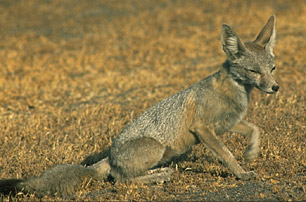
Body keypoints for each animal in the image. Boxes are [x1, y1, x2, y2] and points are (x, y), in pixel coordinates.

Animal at [0, 15, 278, 197]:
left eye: (272, 69)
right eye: (254, 71)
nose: (275, 88)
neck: (235, 92)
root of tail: (110, 155)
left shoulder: (227, 124)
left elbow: (254, 129)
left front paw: (251, 152)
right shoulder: (204, 129)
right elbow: (227, 154)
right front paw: (241, 173)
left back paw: (159, 174)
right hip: (155, 147)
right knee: (120, 180)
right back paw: (158, 176)